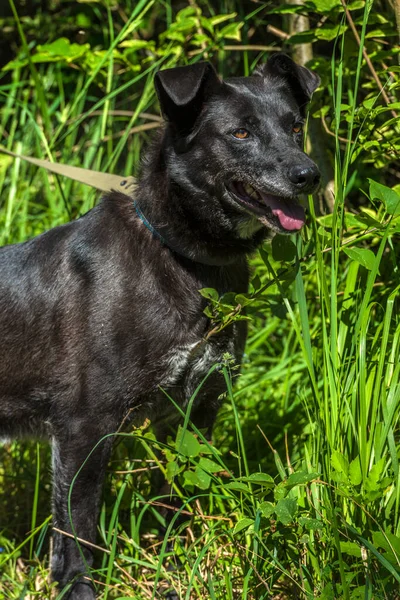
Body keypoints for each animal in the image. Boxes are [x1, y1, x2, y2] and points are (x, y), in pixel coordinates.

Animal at [0, 54, 318, 596]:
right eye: (239, 133)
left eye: (295, 127)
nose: (309, 174)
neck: (185, 257)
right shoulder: (84, 427)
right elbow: (77, 530)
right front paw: (79, 588)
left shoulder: (193, 412)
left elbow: (177, 502)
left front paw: (173, 570)